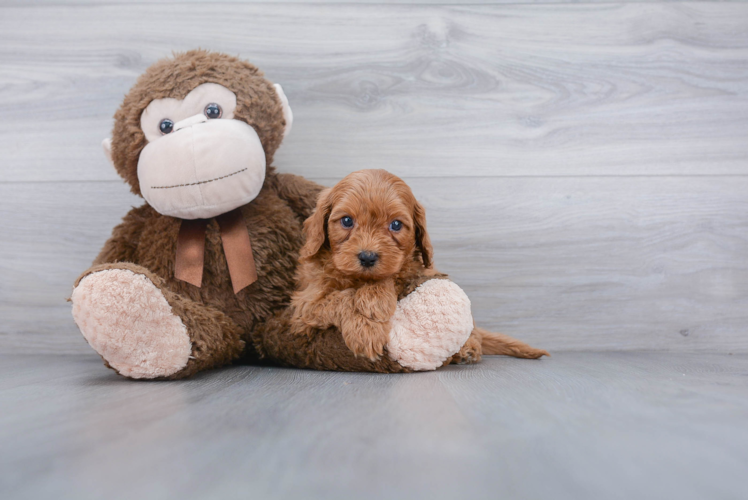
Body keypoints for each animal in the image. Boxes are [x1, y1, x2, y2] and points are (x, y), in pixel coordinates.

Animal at [254, 169, 548, 372]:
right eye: (347, 221)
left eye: (396, 225)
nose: (368, 256)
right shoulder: (305, 305)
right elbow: (339, 297)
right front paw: (366, 328)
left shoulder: (417, 271)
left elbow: (391, 276)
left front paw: (376, 298)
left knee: (473, 330)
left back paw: (468, 349)